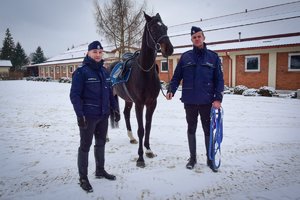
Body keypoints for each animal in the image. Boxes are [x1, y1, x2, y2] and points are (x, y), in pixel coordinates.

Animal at [109, 11, 173, 166]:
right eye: (154, 29)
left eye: (166, 28)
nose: (169, 49)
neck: (144, 71)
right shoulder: (139, 104)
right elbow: (141, 129)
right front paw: (140, 158)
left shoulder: (151, 103)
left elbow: (148, 127)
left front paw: (148, 150)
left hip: (128, 100)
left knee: (126, 114)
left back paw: (131, 137)